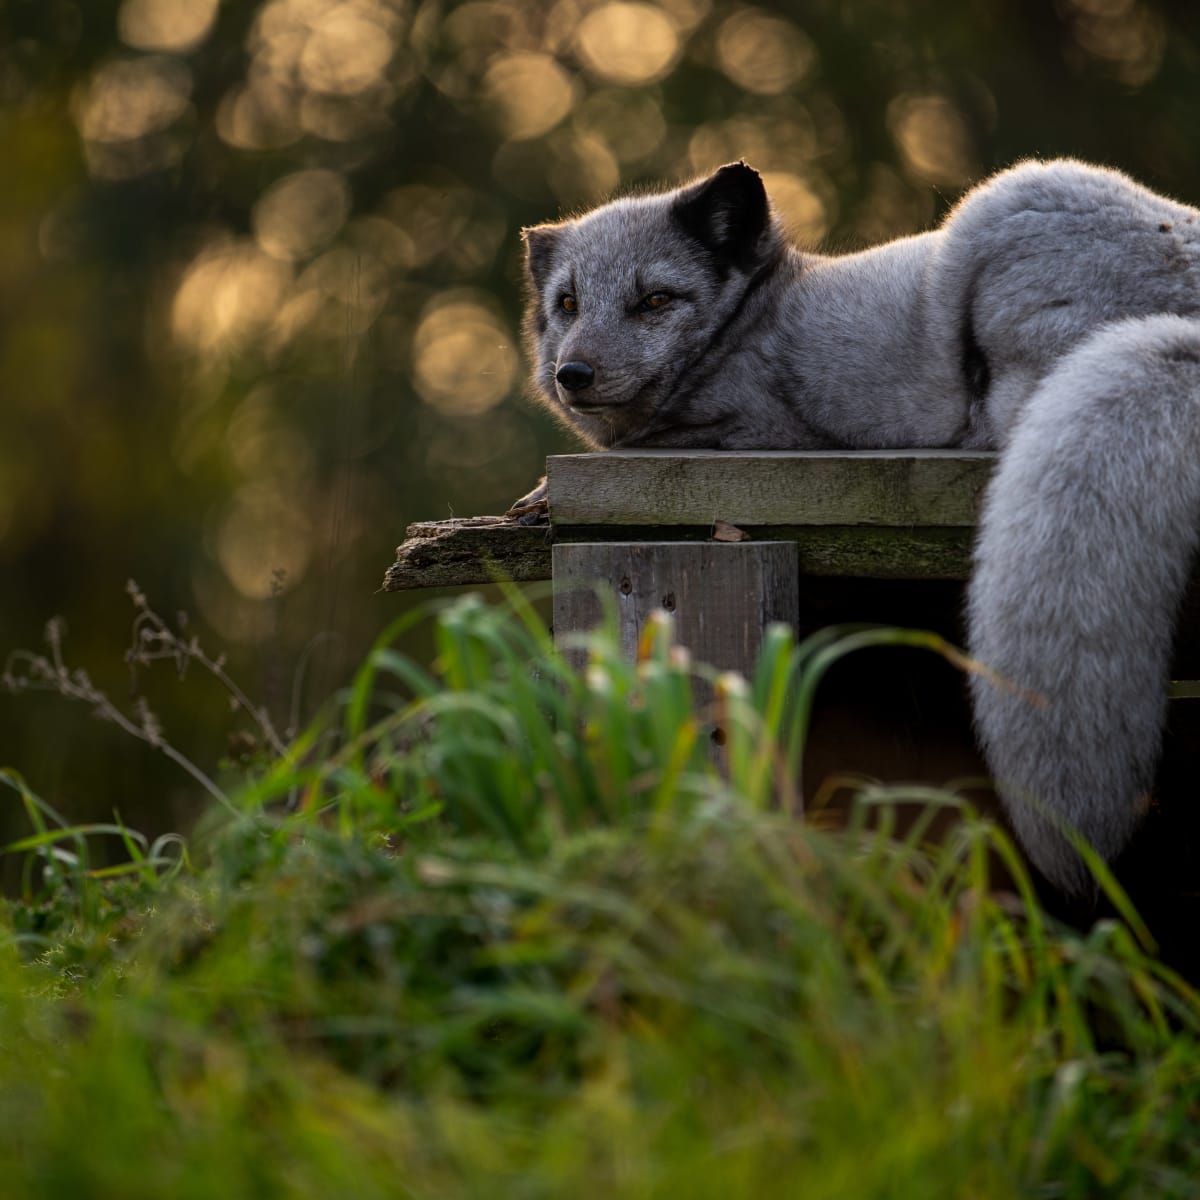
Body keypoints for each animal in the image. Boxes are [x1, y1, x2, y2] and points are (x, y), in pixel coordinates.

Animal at [518, 158, 1200, 896]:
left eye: (654, 300)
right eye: (568, 304)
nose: (573, 373)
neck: (754, 317)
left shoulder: (742, 423)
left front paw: (542, 492)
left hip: (1003, 204)